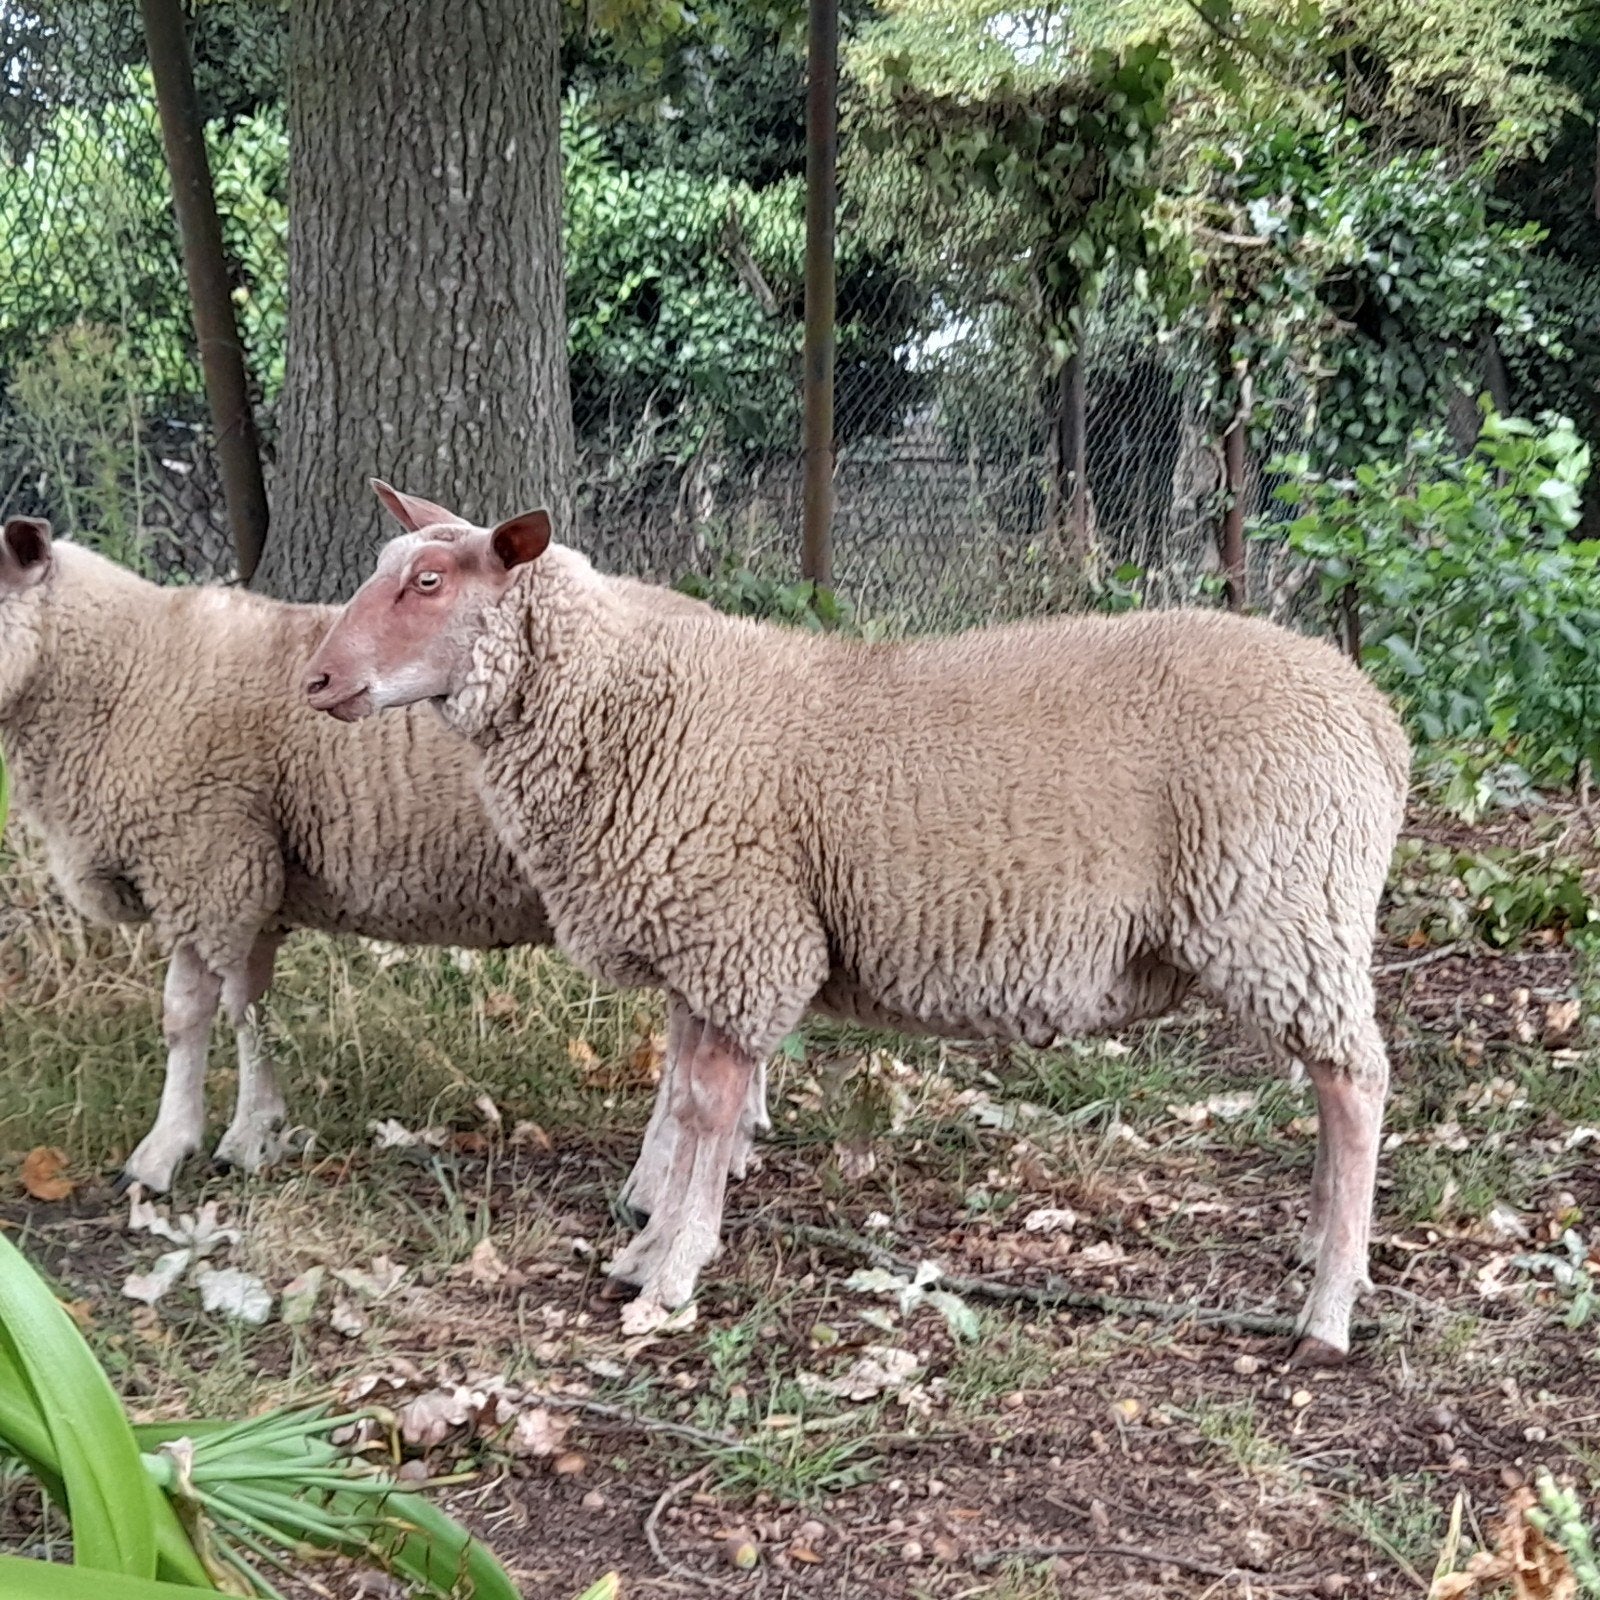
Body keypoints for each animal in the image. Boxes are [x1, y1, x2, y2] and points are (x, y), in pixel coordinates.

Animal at [0, 513, 769, 1196]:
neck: (122, 669)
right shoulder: (252, 874)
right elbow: (250, 1006)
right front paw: (253, 1132)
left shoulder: (203, 861)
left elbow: (188, 1015)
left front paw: (167, 1150)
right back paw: (743, 1135)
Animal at [304, 487, 1410, 1366]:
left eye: (430, 581)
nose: (314, 679)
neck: (618, 700)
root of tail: (1374, 718)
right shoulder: (708, 942)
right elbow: (686, 1099)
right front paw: (646, 1246)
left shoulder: (741, 935)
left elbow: (706, 1111)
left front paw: (672, 1270)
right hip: (1297, 920)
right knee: (1330, 1085)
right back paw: (1327, 1252)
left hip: (1281, 912)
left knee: (1355, 1085)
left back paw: (1326, 1310)